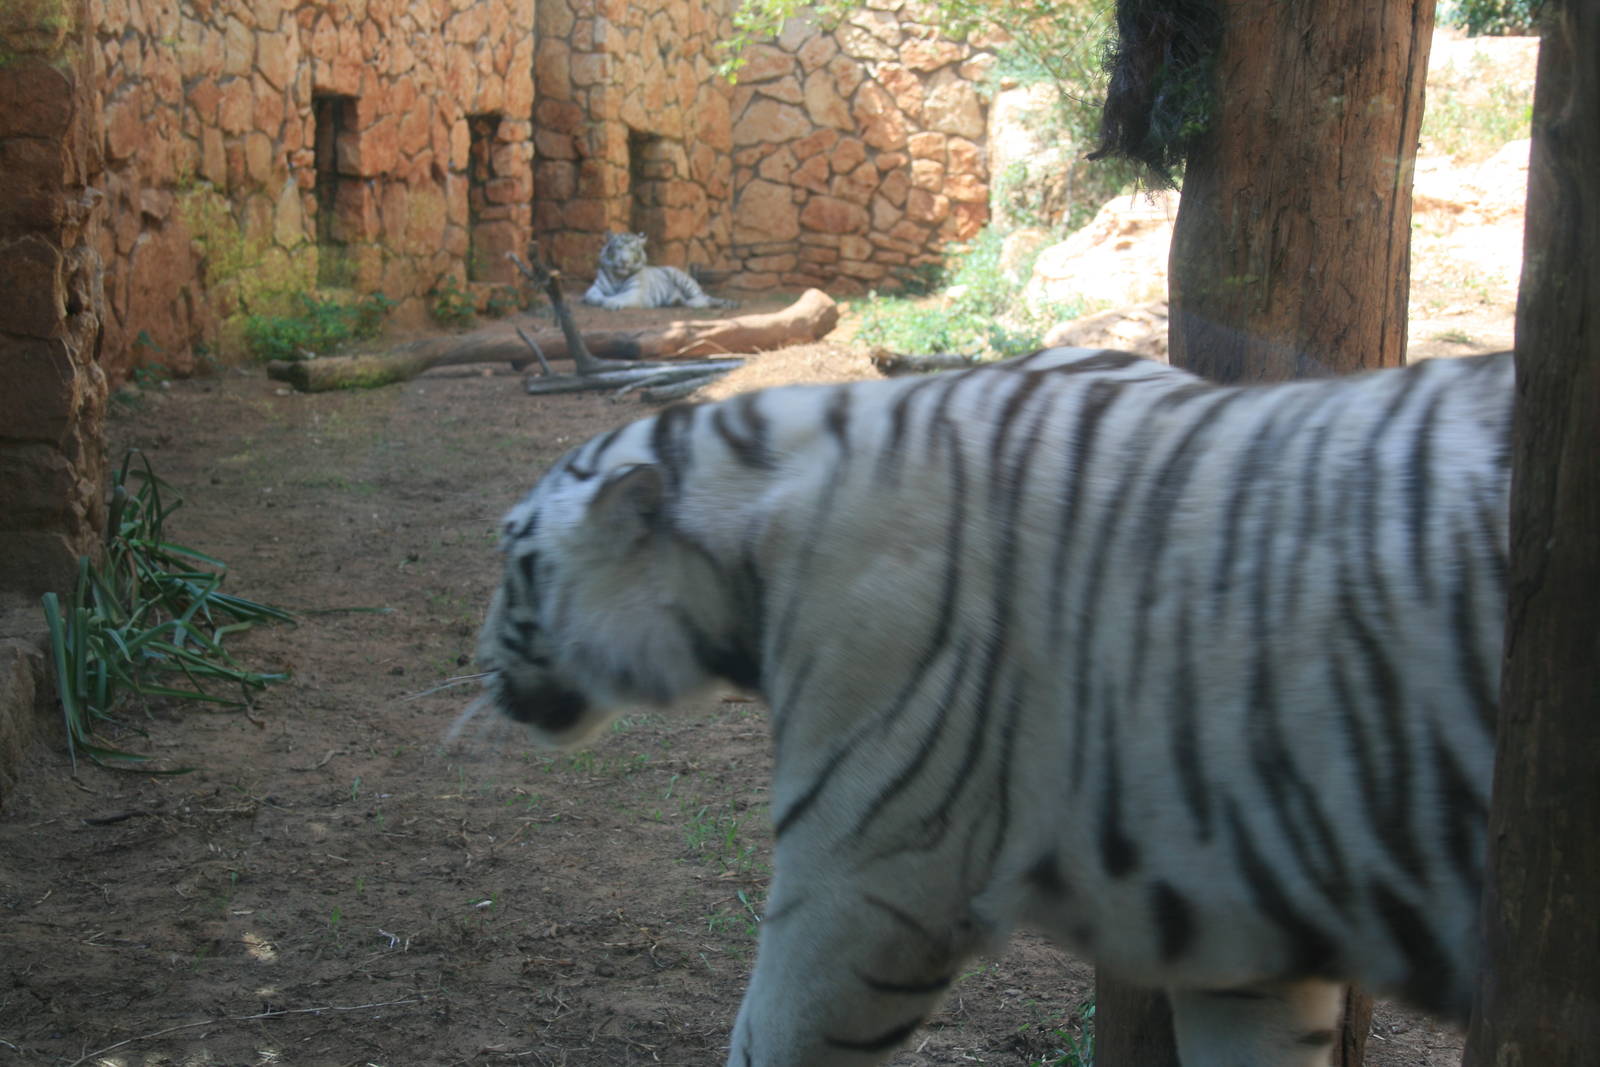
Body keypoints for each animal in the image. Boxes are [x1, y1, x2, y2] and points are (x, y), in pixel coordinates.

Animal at [582, 231, 738, 311]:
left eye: (632, 250)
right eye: (619, 248)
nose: (624, 261)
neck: (618, 276)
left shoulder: (636, 293)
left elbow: (621, 296)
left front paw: (610, 302)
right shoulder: (596, 287)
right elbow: (591, 295)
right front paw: (599, 299)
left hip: (682, 279)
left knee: (702, 298)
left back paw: (691, 303)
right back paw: (674, 300)